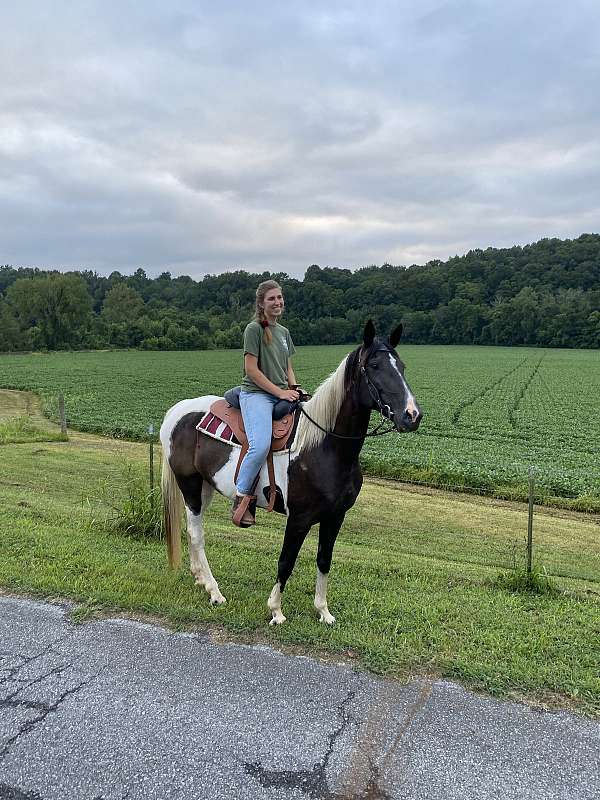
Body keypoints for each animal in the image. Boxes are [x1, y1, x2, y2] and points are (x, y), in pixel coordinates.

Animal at [159, 318, 422, 624]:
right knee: (196, 532)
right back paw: (215, 592)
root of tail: (176, 412)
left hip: (205, 486)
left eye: (401, 366)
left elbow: (324, 559)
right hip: (189, 484)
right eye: (376, 366)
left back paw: (201, 580)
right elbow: (286, 560)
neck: (326, 447)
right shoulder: (299, 518)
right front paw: (276, 610)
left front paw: (323, 611)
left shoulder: (335, 517)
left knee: (194, 529)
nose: (412, 415)